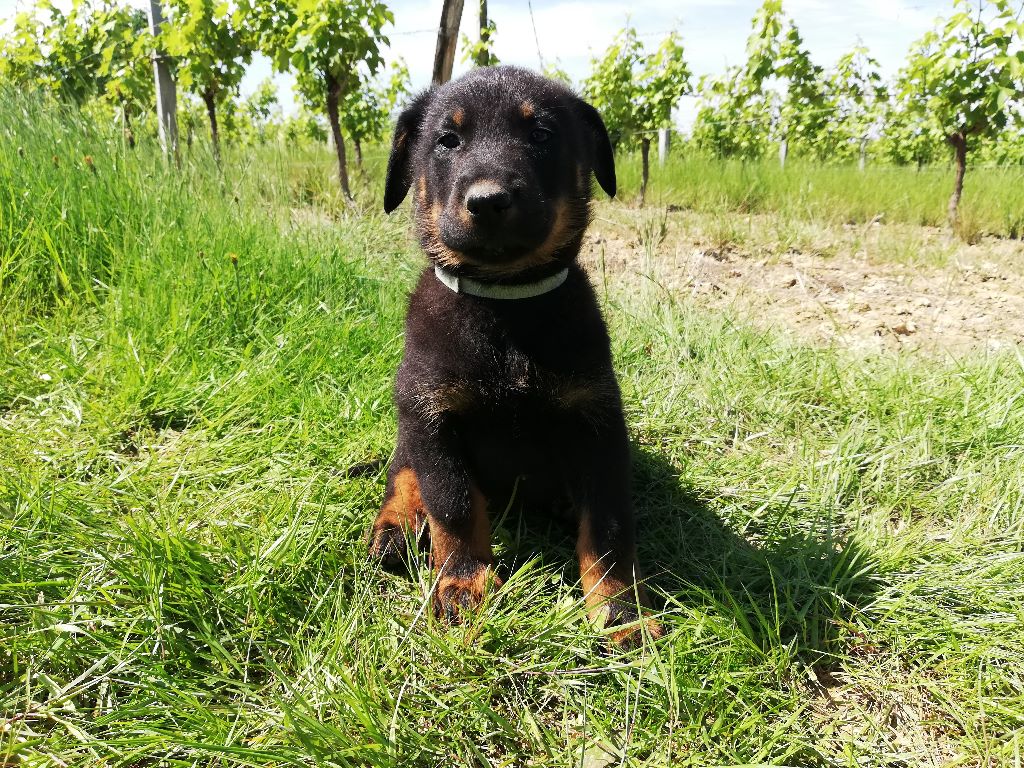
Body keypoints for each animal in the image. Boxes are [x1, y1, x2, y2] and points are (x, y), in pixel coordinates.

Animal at [369, 66, 661, 646]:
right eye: (447, 140)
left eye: (542, 134)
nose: (488, 201)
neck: (506, 306)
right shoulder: (431, 414)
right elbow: (454, 505)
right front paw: (464, 583)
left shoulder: (597, 421)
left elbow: (609, 523)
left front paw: (621, 608)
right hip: (408, 429)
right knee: (403, 474)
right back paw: (394, 529)